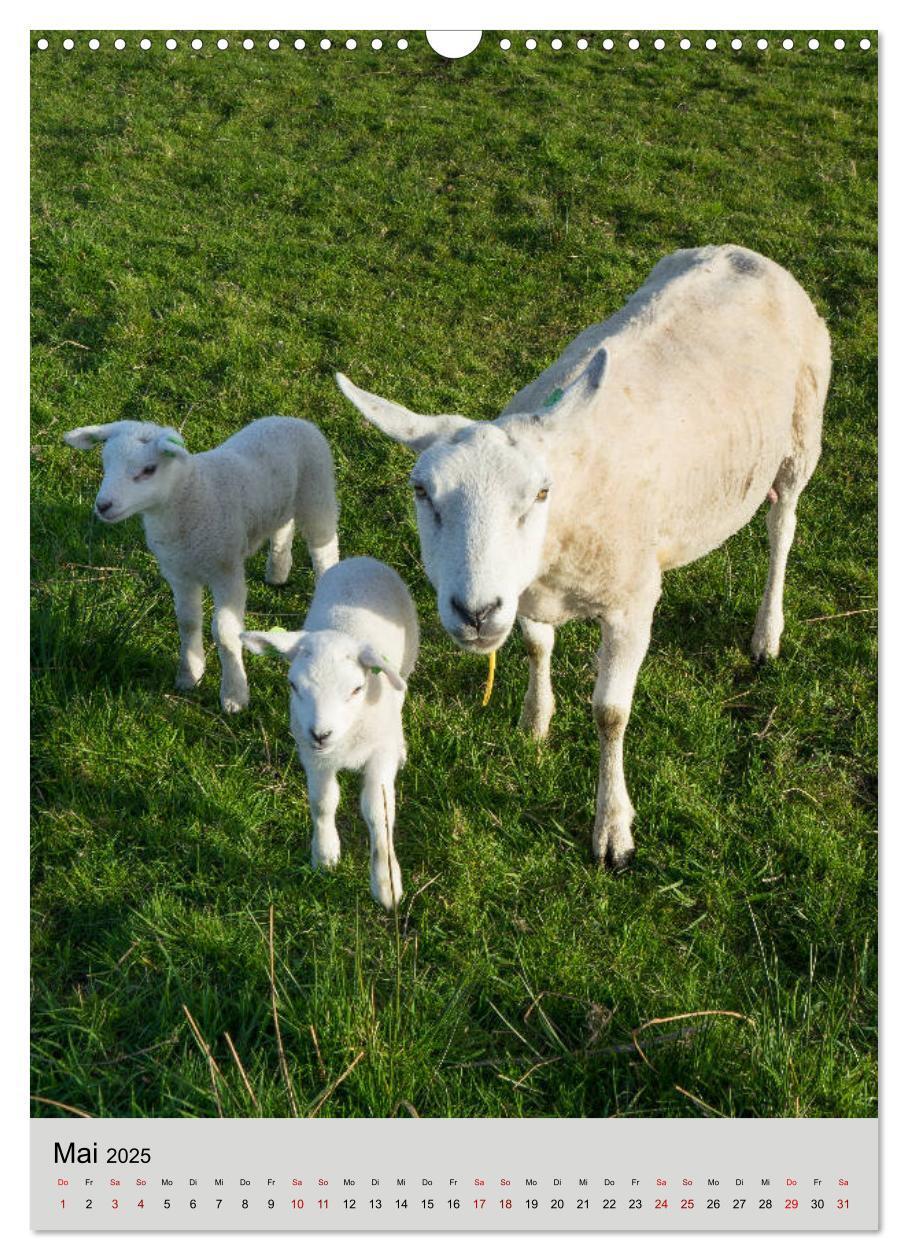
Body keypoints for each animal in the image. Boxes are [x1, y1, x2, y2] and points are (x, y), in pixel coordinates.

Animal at [63, 413, 337, 710]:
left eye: (149, 469)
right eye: (106, 463)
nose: (103, 505)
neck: (191, 496)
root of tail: (291, 419)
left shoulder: (227, 571)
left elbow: (225, 632)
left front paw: (234, 694)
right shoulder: (179, 573)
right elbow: (187, 622)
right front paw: (190, 674)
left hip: (318, 492)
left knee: (325, 550)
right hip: (279, 500)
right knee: (283, 525)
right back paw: (277, 571)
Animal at [244, 556, 420, 912]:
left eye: (357, 689)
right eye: (293, 685)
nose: (321, 733)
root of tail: (360, 559)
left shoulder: (379, 753)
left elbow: (378, 811)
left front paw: (386, 883)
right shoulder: (313, 756)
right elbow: (323, 801)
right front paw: (325, 854)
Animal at [334, 246, 831, 876]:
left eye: (541, 493)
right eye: (421, 491)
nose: (475, 613)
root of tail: (744, 252)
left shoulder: (632, 603)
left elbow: (610, 714)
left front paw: (613, 828)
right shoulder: (526, 593)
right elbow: (534, 646)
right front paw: (535, 720)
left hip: (799, 441)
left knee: (781, 530)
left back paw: (767, 632)